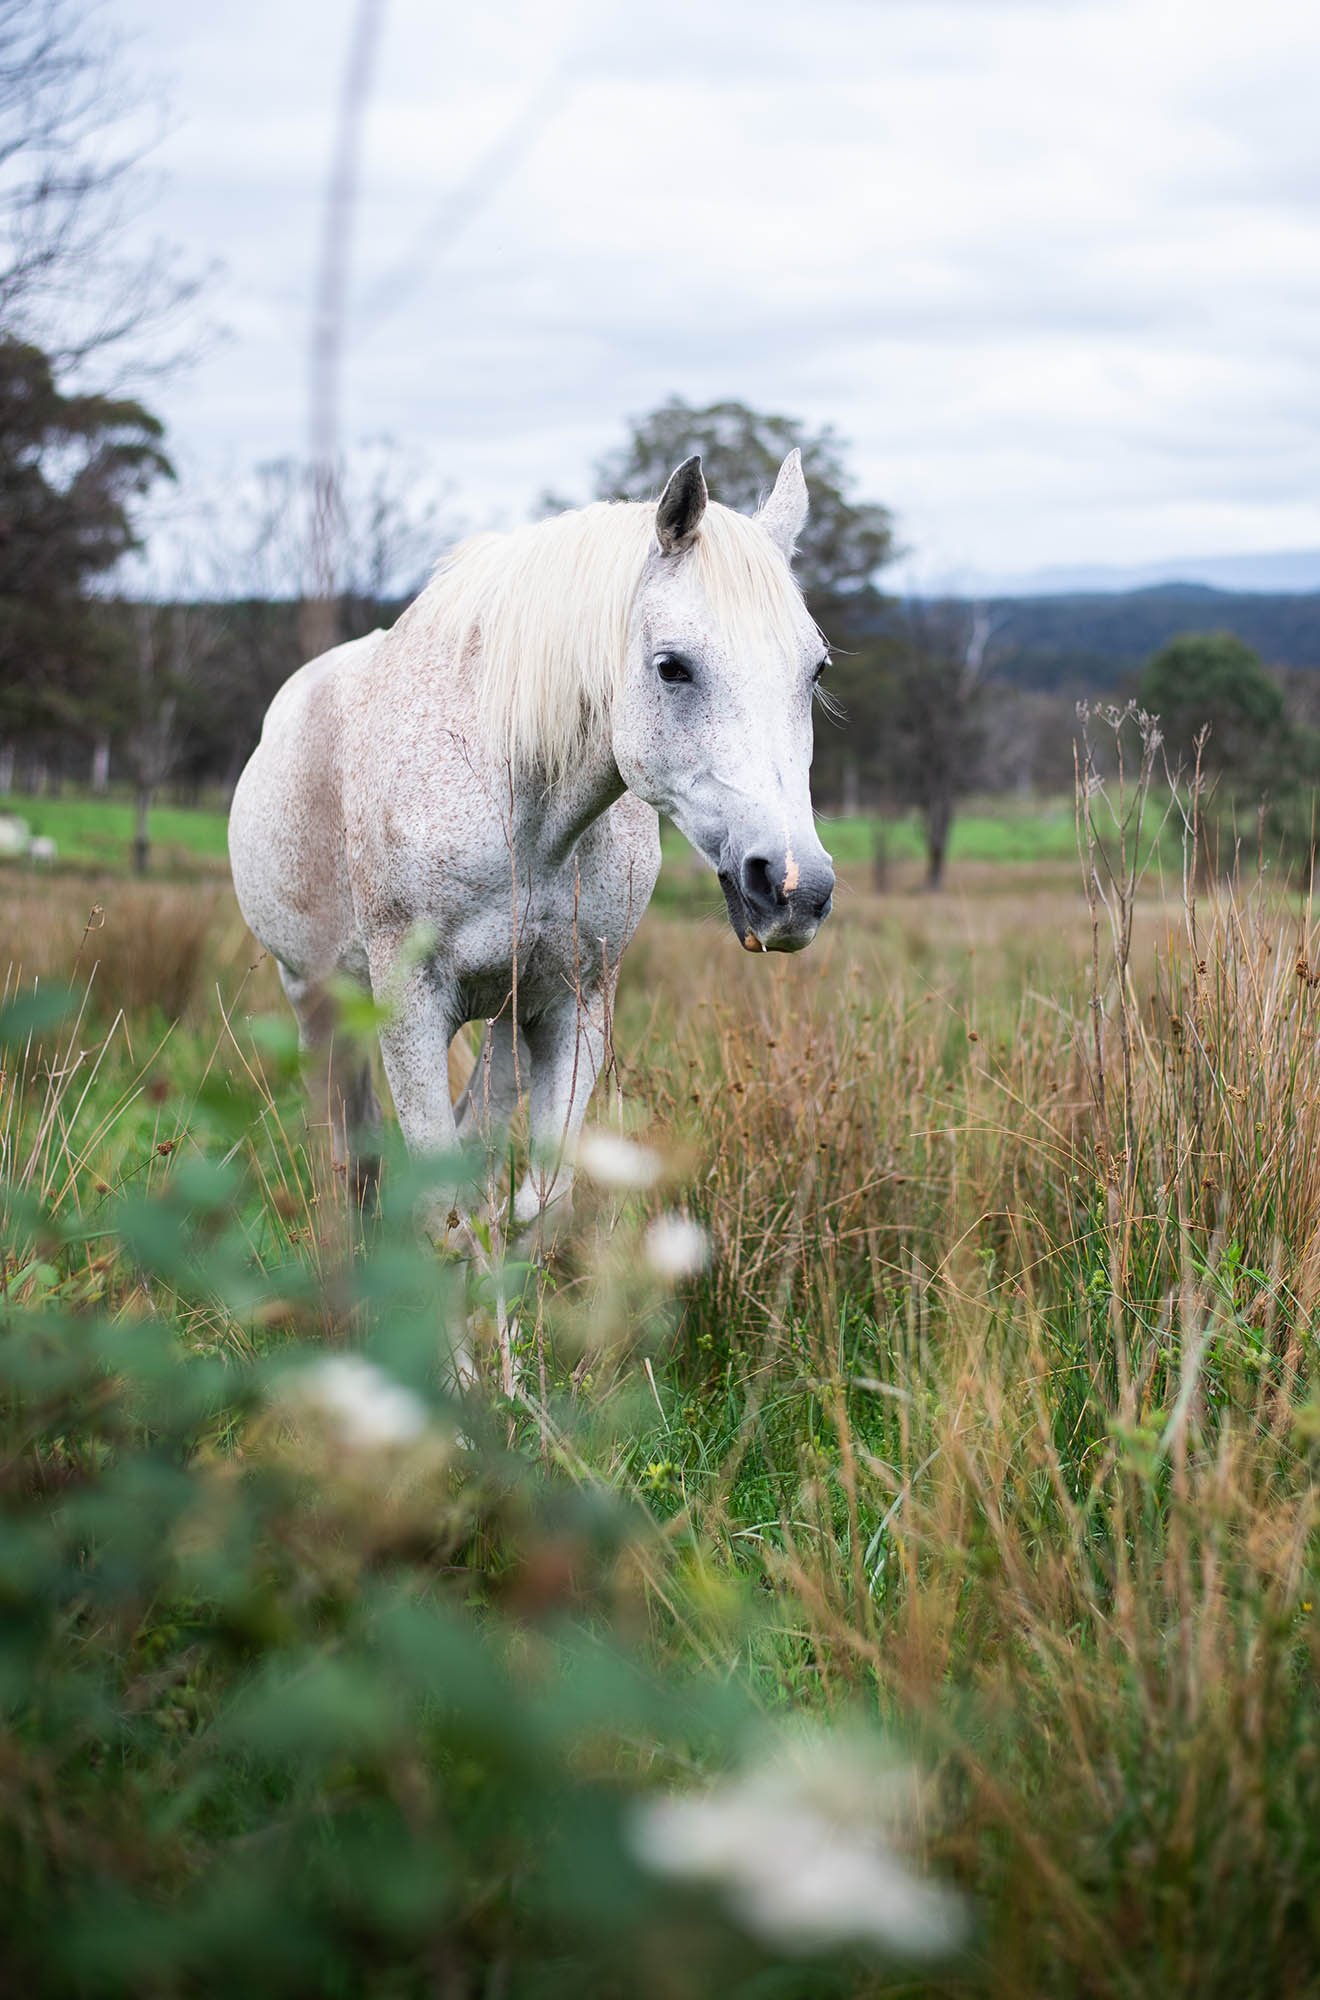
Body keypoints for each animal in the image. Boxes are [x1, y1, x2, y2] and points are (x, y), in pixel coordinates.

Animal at [226, 456, 824, 1224]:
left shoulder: (575, 1002)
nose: (793, 888)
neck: (528, 814)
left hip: (507, 1018)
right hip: (319, 997)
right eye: (672, 666)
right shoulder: (408, 1005)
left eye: (816, 670)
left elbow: (535, 1200)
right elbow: (441, 1204)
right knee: (350, 1154)